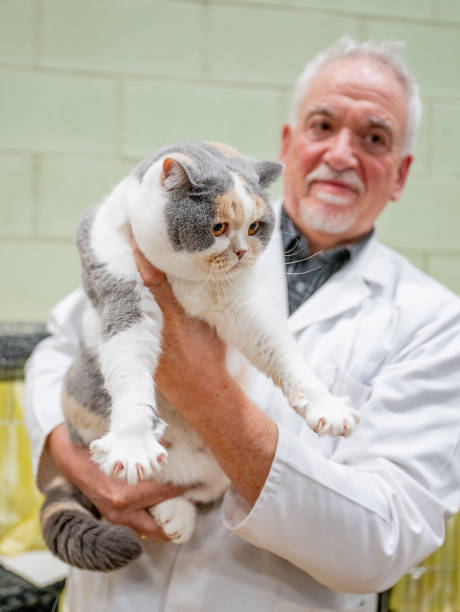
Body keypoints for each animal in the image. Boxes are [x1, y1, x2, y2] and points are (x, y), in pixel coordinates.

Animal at [40, 141, 360, 572]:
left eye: (255, 227)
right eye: (218, 228)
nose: (241, 252)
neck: (188, 282)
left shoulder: (245, 307)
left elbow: (282, 352)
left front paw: (326, 406)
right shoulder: (120, 284)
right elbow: (129, 372)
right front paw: (133, 443)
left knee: (193, 490)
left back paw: (177, 514)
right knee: (153, 488)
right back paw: (170, 510)